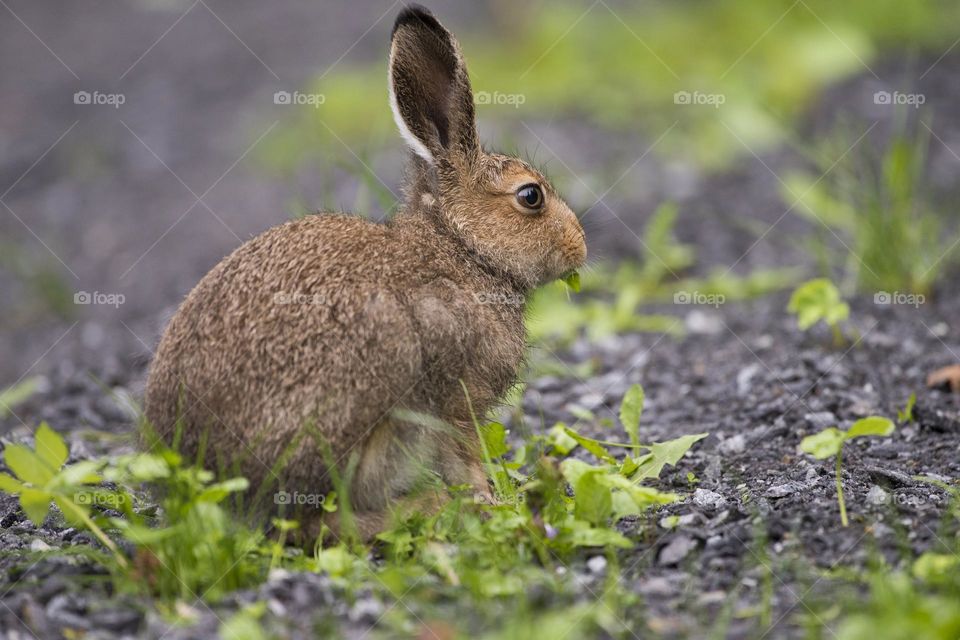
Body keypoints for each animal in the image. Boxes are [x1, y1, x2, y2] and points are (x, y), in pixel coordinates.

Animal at [144, 4, 587, 543]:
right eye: (530, 196)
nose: (580, 247)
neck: (462, 249)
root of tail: (202, 473)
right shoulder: (456, 396)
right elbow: (463, 457)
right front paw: (490, 502)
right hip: (374, 372)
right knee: (312, 522)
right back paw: (424, 508)